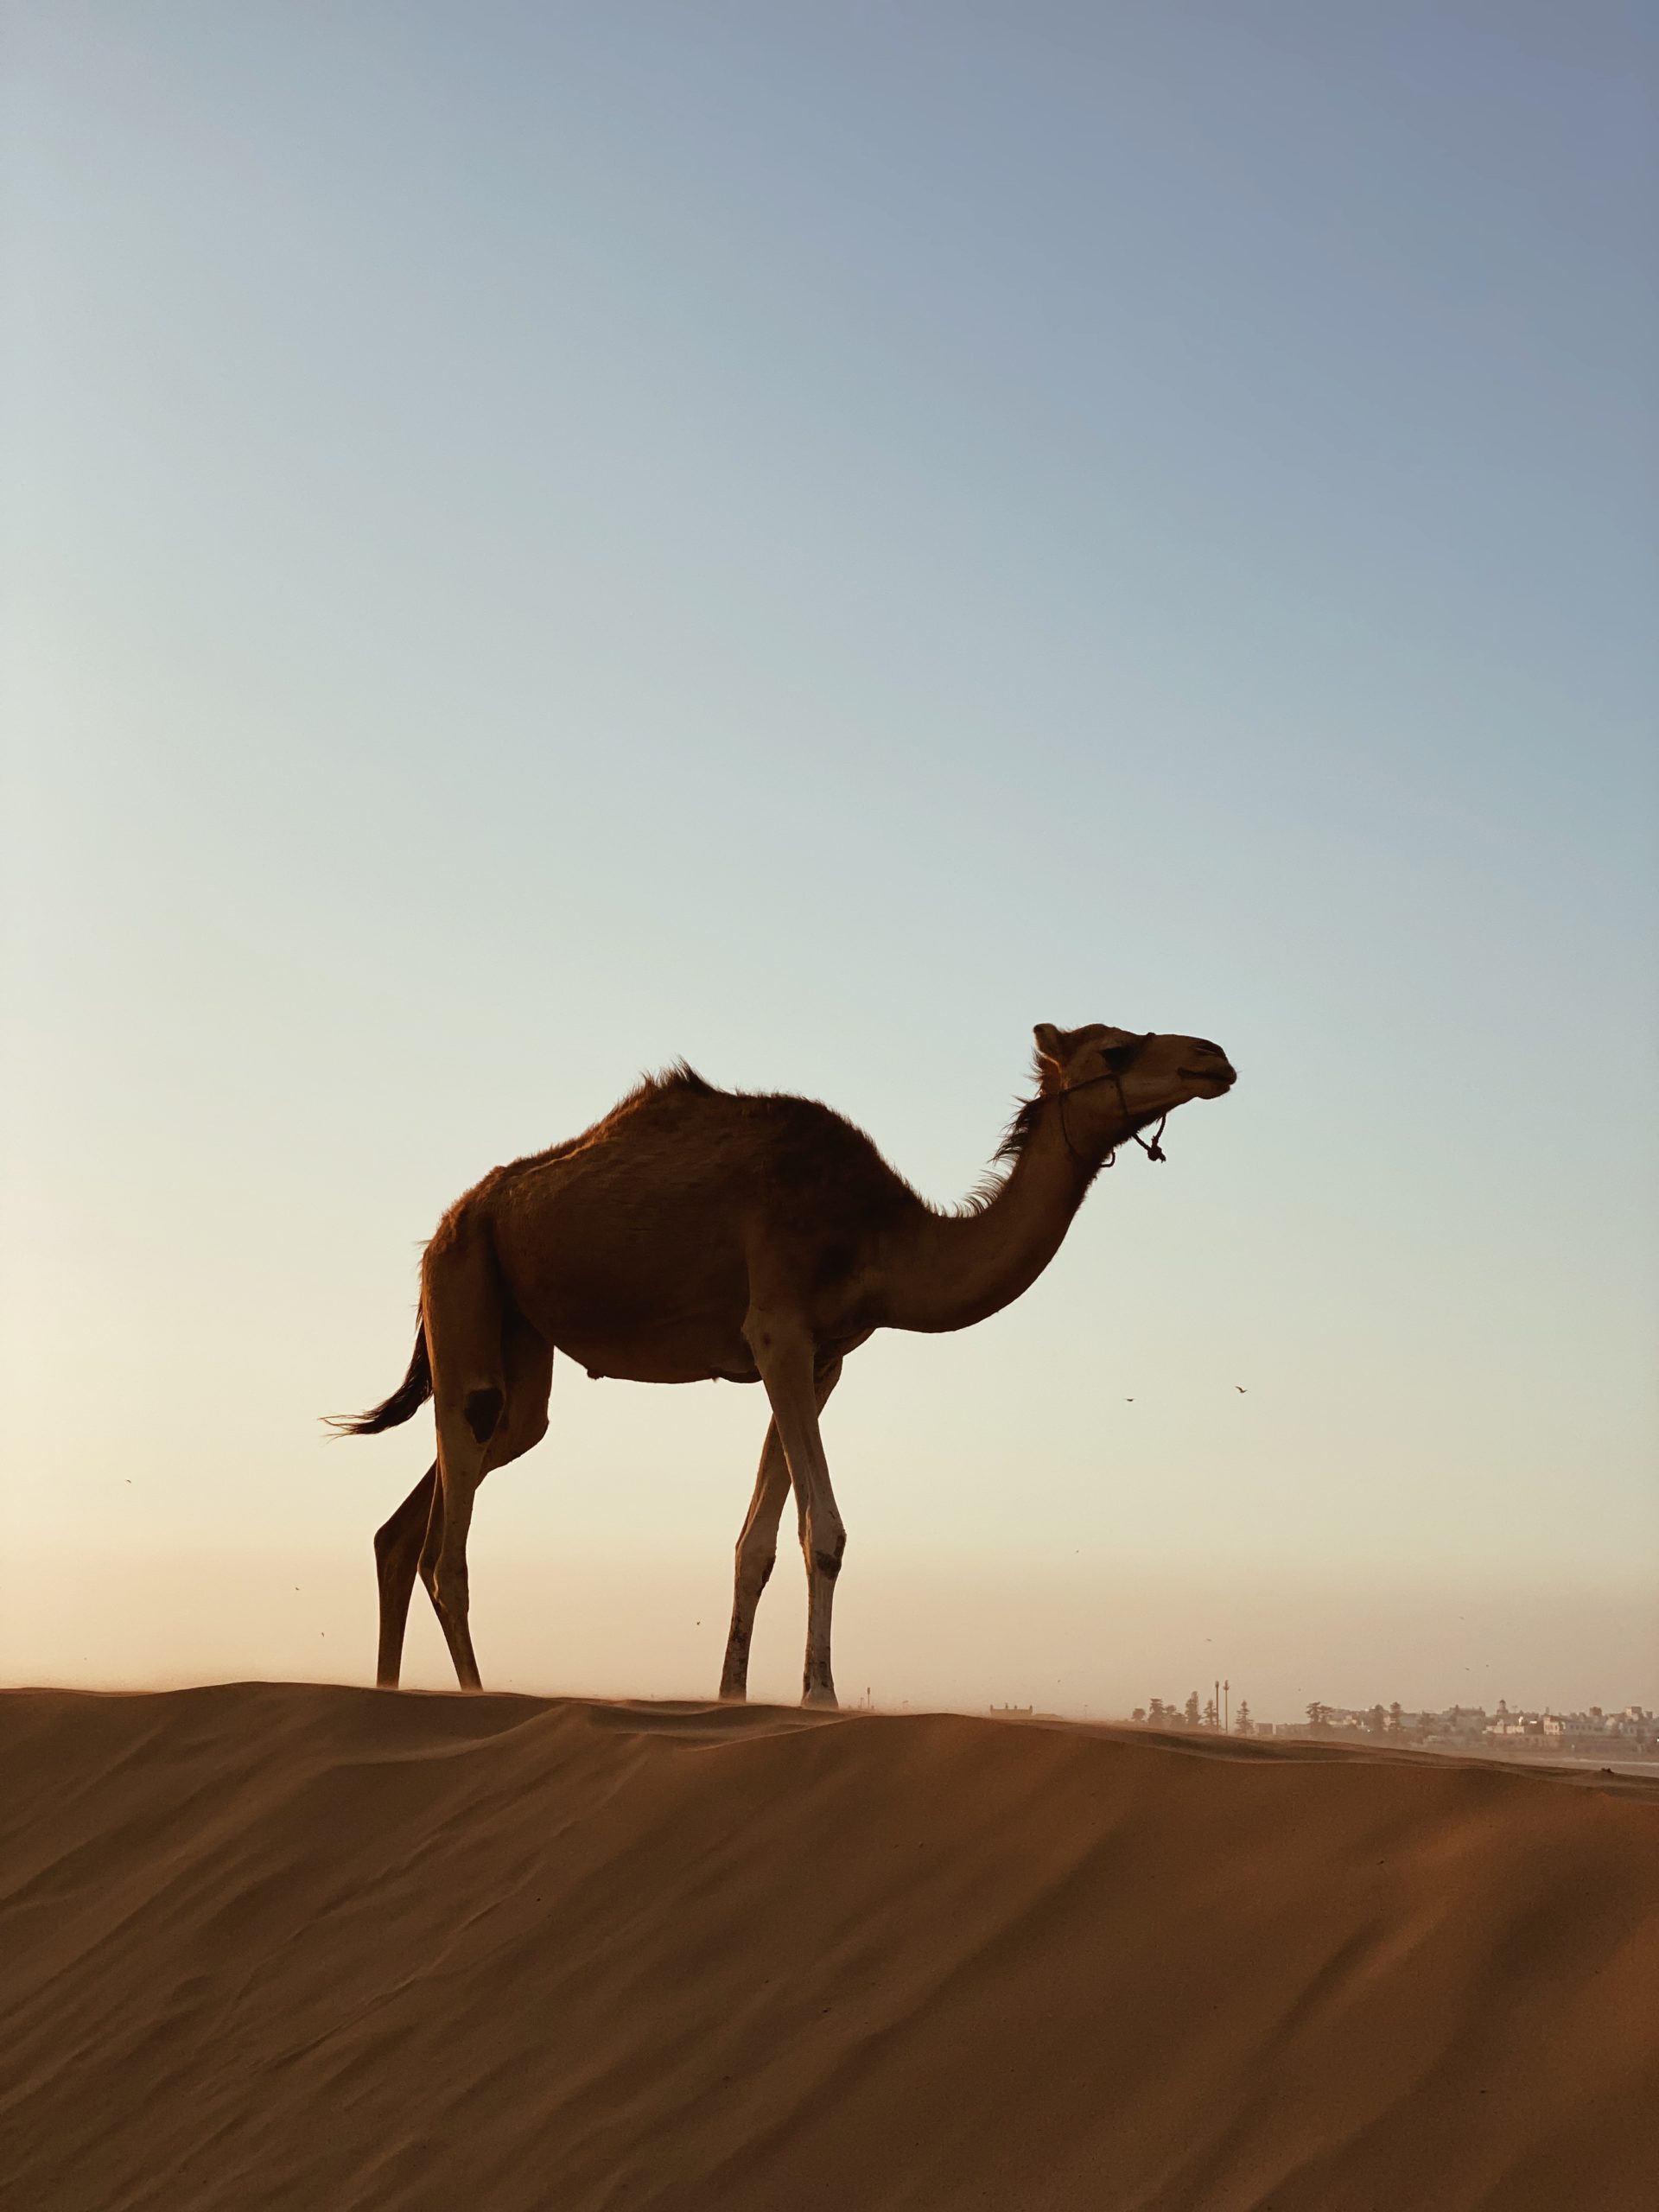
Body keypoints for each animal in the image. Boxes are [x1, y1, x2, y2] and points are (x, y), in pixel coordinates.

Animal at [334, 1021, 1238, 1707]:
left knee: (421, 1515)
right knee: (449, 1536)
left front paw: (734, 1696)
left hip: (518, 1342)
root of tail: (451, 1220)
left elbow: (758, 1545)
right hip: (462, 1282)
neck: (878, 1237)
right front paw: (820, 1694)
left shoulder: (823, 1358)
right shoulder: (779, 1332)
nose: (1214, 1058)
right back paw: (472, 1695)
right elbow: (823, 1530)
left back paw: (388, 1691)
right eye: (1115, 1051)